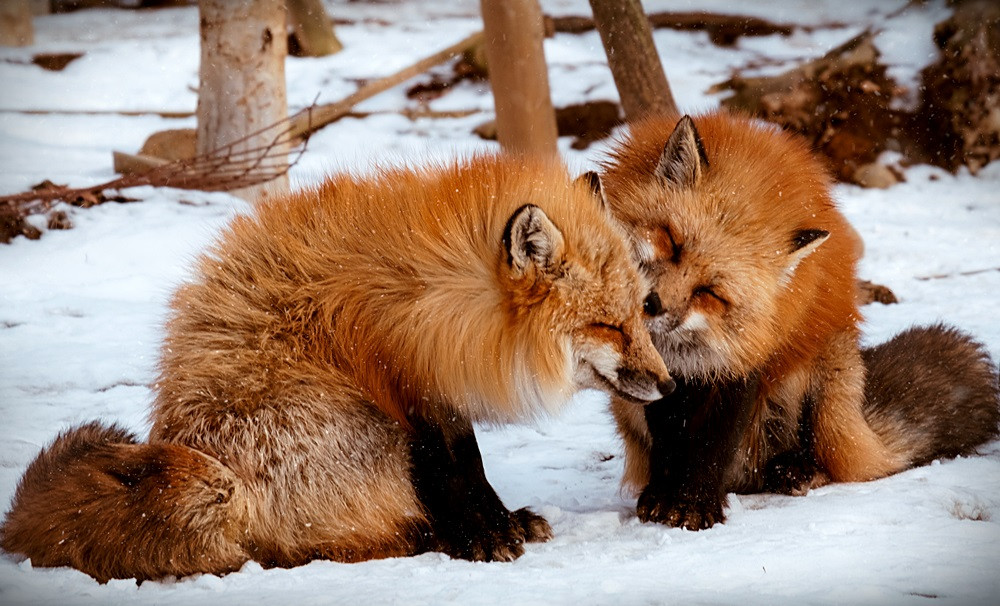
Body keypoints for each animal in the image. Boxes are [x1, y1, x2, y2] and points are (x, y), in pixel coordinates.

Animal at [1, 154, 672, 580]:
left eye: (641, 312)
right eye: (608, 328)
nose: (668, 385)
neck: (440, 300)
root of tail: (220, 477)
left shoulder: (438, 388)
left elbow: (471, 468)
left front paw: (501, 522)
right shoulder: (407, 391)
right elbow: (458, 471)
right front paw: (483, 536)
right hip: (364, 429)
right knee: (332, 544)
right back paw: (432, 537)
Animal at [596, 114, 1000, 532]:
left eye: (710, 293)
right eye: (671, 242)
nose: (651, 305)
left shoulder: (748, 353)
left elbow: (713, 442)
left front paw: (695, 503)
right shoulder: (661, 370)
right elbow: (668, 444)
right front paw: (664, 497)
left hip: (826, 381)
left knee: (826, 462)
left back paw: (796, 470)